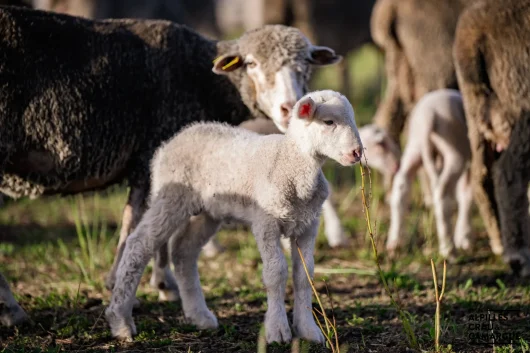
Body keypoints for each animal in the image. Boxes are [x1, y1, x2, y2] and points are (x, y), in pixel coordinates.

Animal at [0, 5, 340, 326]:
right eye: (251, 63)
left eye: (306, 64)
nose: (289, 107)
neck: (201, 80)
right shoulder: (153, 153)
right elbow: (139, 226)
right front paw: (156, 285)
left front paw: (139, 285)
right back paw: (12, 310)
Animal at [105, 89, 360, 342]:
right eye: (329, 122)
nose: (357, 152)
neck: (289, 162)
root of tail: (174, 139)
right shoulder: (266, 221)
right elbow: (276, 272)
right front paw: (277, 330)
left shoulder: (308, 224)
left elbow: (304, 275)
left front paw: (308, 330)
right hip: (171, 195)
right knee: (139, 244)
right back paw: (121, 321)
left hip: (207, 213)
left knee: (183, 253)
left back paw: (200, 316)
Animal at [384, 88, 470, 258]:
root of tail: (429, 114)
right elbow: (468, 194)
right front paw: (464, 238)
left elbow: (464, 193)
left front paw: (462, 237)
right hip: (455, 147)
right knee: (442, 193)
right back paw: (448, 250)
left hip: (415, 145)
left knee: (401, 184)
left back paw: (395, 243)